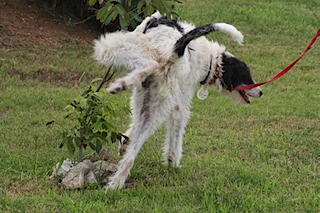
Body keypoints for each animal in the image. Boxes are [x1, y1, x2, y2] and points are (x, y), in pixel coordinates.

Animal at [92, 12, 262, 191]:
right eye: (246, 76)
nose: (261, 92)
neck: (208, 59)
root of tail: (174, 51)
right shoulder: (179, 105)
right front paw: (171, 162)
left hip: (116, 51)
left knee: (149, 65)